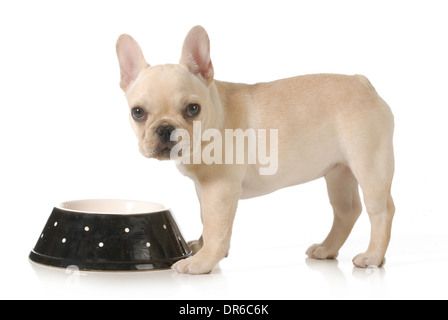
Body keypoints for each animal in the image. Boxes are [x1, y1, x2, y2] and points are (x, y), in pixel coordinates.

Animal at [116, 25, 396, 276]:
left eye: (193, 109)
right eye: (137, 112)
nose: (165, 129)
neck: (216, 114)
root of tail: (362, 82)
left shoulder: (219, 188)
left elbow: (216, 226)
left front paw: (202, 262)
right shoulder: (204, 188)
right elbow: (207, 219)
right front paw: (202, 248)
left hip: (369, 165)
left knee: (381, 210)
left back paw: (373, 256)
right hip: (339, 171)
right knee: (347, 211)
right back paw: (327, 249)